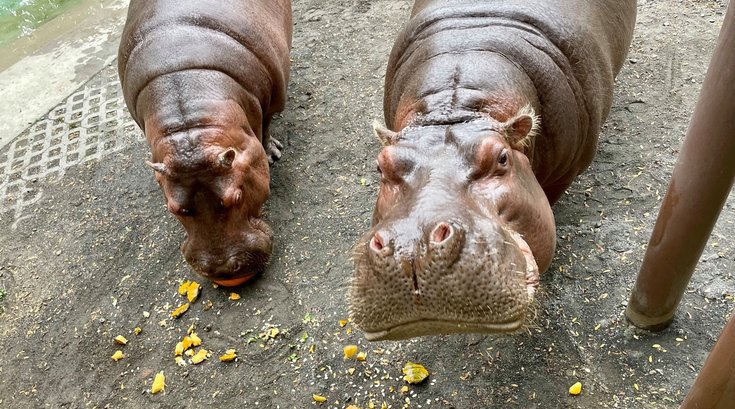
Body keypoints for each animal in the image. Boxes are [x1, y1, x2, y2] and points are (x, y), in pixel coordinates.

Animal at [117, 0, 292, 286]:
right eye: (173, 207)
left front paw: (272, 154)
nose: (221, 269)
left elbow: (265, 126)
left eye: (237, 195)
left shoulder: (273, 101)